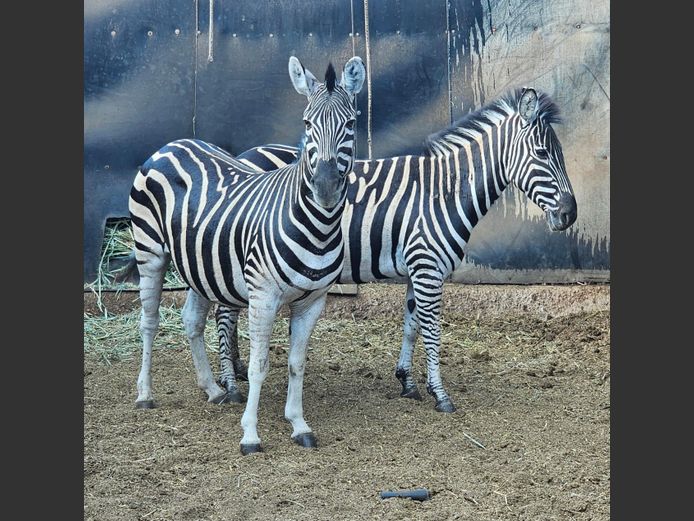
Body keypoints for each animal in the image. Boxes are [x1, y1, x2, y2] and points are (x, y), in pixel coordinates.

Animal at [126, 55, 366, 454]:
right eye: (306, 124)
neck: (318, 226)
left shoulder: (313, 301)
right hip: (150, 250)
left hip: (200, 263)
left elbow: (297, 364)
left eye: (350, 124)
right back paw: (145, 393)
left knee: (191, 320)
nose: (326, 187)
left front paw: (299, 424)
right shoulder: (263, 297)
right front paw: (250, 434)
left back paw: (211, 388)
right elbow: (259, 365)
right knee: (149, 322)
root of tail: (174, 142)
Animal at [214, 87, 577, 414]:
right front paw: (440, 394)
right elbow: (432, 329)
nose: (570, 214)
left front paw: (408, 381)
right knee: (224, 313)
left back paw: (237, 372)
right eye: (542, 153)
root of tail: (240, 158)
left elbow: (411, 324)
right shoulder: (429, 266)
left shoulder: (418, 268)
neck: (444, 192)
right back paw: (230, 386)